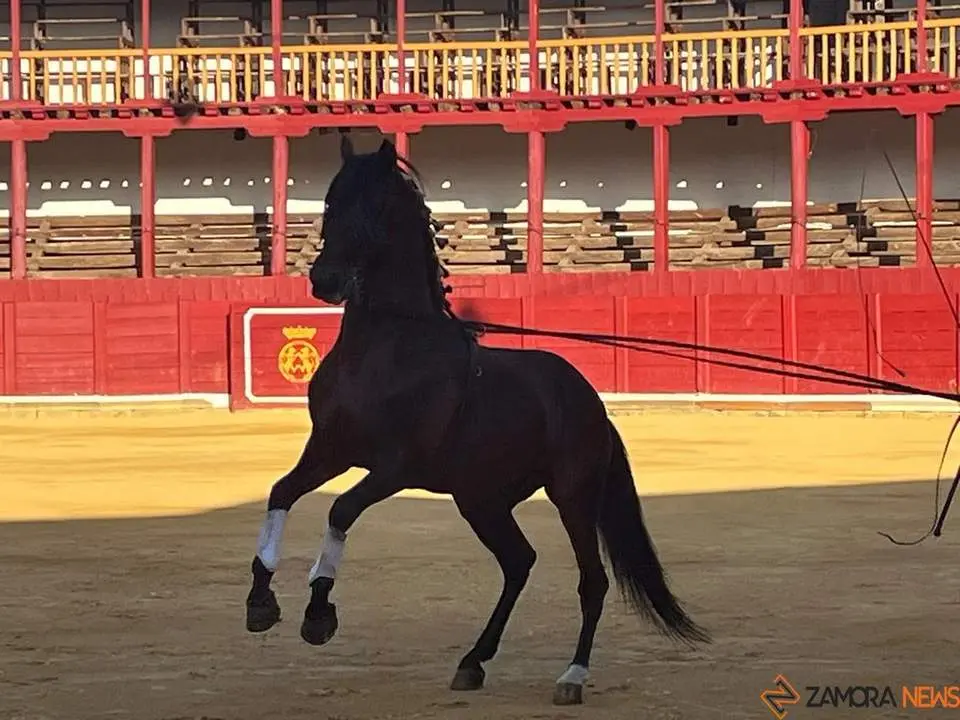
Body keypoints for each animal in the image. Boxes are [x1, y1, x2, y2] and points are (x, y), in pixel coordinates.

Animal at [244, 135, 710, 705]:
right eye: (330, 202)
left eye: (375, 205)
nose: (325, 280)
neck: (387, 347)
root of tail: (590, 401)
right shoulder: (330, 449)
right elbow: (281, 493)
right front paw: (261, 601)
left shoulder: (394, 468)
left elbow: (340, 510)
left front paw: (318, 612)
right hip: (481, 500)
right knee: (519, 562)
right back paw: (473, 662)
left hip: (572, 496)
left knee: (591, 580)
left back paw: (571, 676)